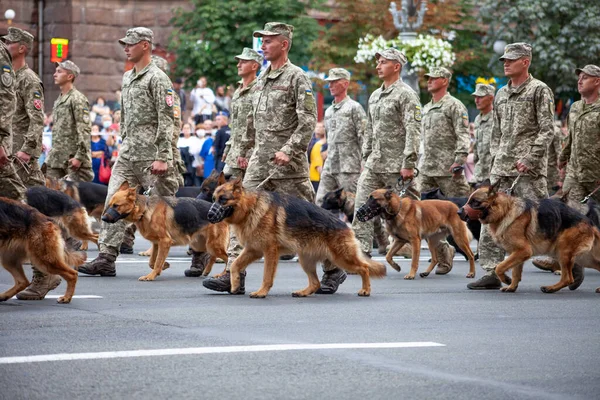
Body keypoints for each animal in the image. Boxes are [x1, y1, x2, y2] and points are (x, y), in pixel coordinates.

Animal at [206, 177, 384, 296]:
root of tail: (346, 225)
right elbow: (235, 264)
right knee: (315, 283)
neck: (251, 207)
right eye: (213, 199)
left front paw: (262, 292)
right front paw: (234, 284)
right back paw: (303, 292)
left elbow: (267, 275)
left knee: (364, 268)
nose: (209, 215)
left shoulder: (269, 252)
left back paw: (365, 290)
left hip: (342, 257)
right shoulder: (253, 250)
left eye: (223, 200)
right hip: (306, 260)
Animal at [460, 183, 600, 292]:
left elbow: (500, 267)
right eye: (469, 201)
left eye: (475, 202)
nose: (458, 212)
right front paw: (511, 287)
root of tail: (590, 223)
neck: (505, 211)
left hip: (563, 252)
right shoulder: (517, 253)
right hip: (583, 258)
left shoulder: (523, 251)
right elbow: (515, 272)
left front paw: (506, 279)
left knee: (568, 278)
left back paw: (550, 288)